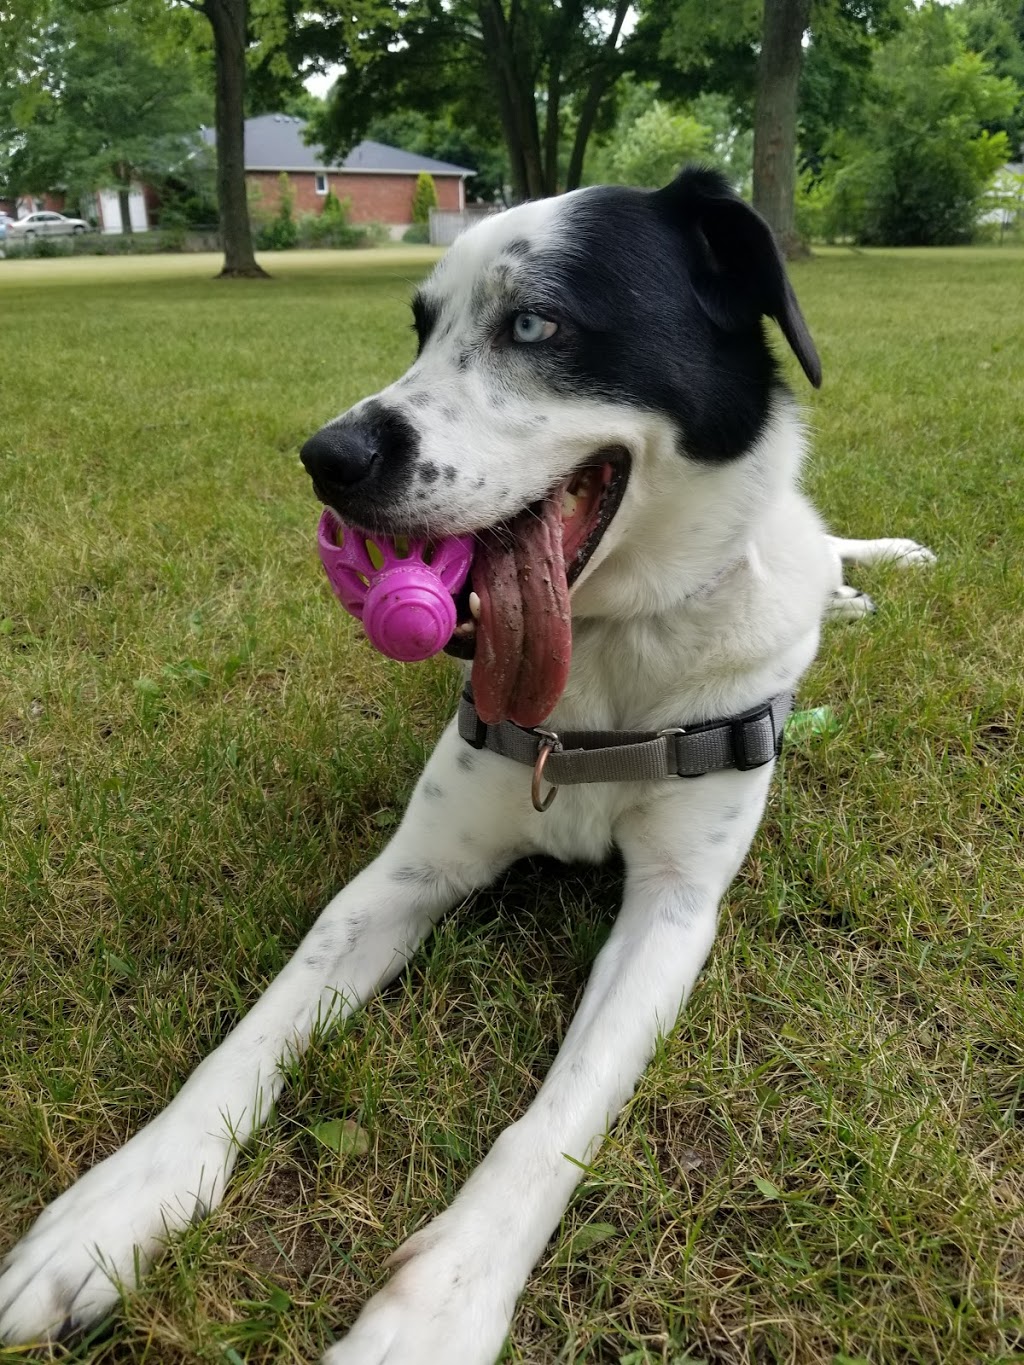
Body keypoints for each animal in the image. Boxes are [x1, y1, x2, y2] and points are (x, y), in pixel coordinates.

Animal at [0, 173, 928, 1365]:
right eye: (420, 328)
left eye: (535, 324)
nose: (328, 458)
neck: (603, 674)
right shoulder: (408, 872)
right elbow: (250, 1036)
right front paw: (114, 1206)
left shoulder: (675, 909)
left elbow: (558, 1117)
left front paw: (437, 1306)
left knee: (824, 548)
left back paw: (872, 575)